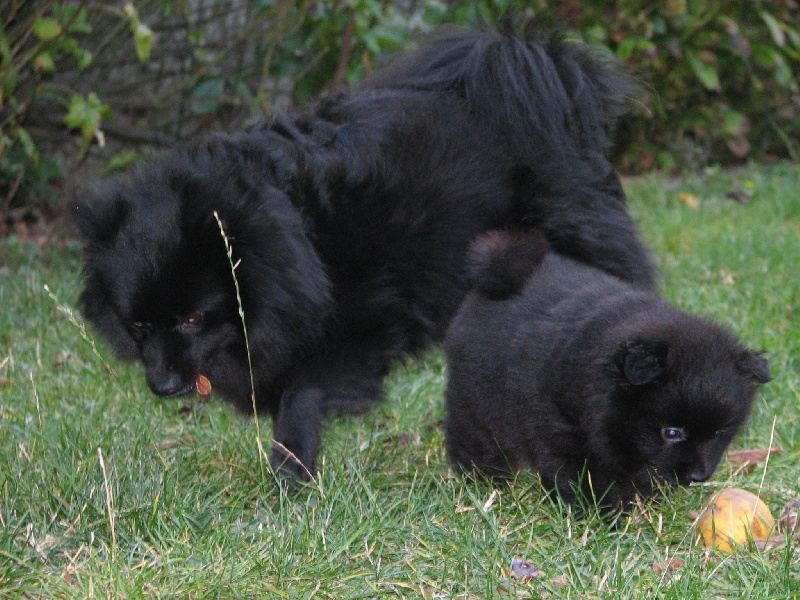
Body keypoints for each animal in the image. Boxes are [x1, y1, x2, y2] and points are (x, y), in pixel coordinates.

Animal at [70, 24, 656, 482]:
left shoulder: (369, 322)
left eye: (193, 318)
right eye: (138, 326)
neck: (295, 237)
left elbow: (304, 390)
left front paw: (292, 464)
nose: (163, 386)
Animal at [446, 231, 772, 506]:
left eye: (719, 432)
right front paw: (599, 512)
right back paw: (484, 477)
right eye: (671, 433)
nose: (698, 476)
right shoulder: (562, 430)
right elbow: (580, 472)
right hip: (475, 402)